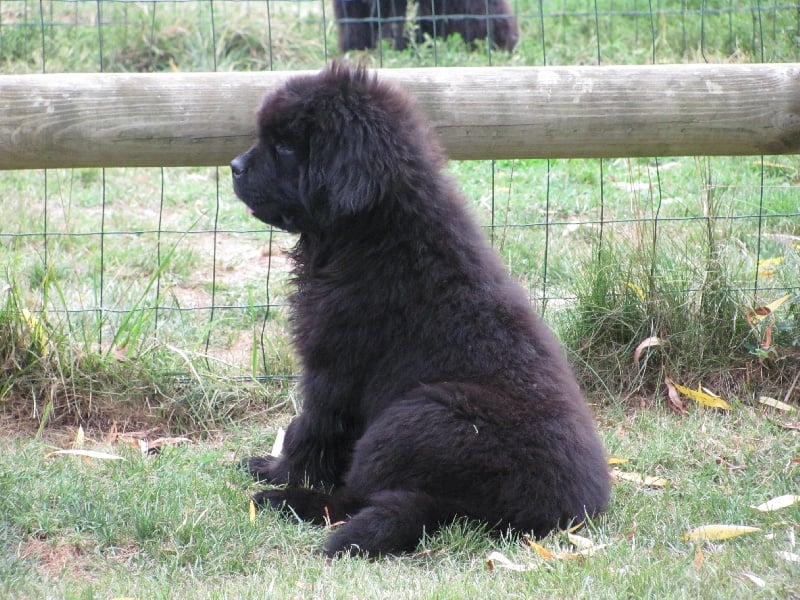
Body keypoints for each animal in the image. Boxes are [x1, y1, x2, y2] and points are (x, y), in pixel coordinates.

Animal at [228, 65, 608, 556]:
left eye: (288, 146)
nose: (234, 167)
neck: (375, 229)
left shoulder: (334, 366)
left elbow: (310, 428)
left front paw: (280, 473)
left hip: (416, 414)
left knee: (356, 498)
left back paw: (286, 500)